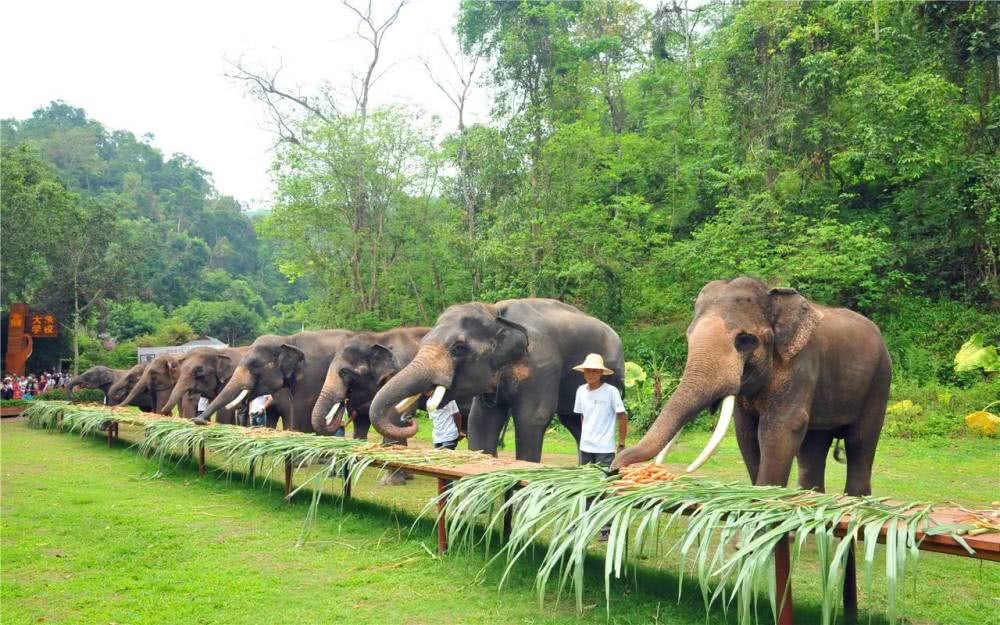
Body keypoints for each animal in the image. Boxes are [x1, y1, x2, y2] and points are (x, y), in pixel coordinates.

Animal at [368, 300, 624, 460]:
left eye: (459, 348)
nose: (409, 419)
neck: (496, 312)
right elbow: (481, 420)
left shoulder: (543, 365)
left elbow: (532, 418)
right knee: (574, 421)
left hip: (615, 375)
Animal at [612, 276, 896, 498]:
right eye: (689, 336)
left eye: (745, 340)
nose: (615, 468)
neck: (774, 294)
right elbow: (746, 433)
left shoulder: (800, 364)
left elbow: (780, 428)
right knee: (812, 447)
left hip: (880, 379)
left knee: (860, 441)